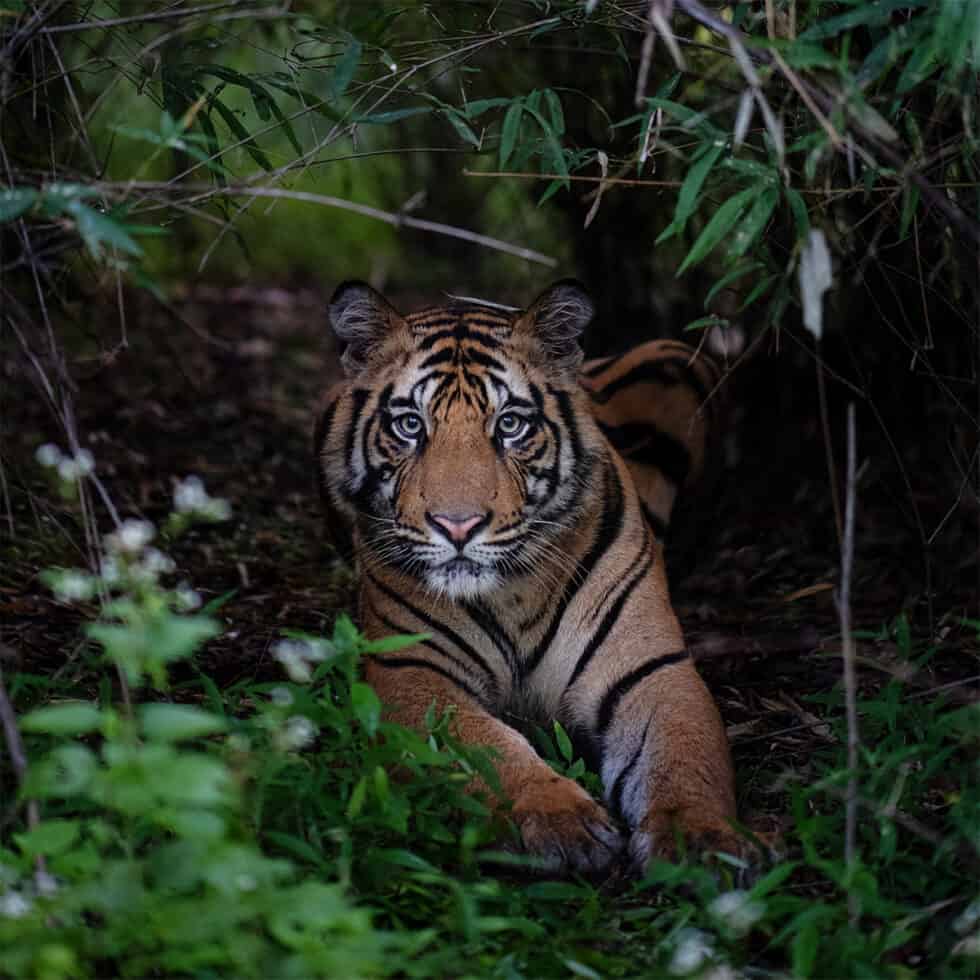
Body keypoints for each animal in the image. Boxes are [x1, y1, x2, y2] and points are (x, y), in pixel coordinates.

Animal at [314, 279, 742, 875]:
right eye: (410, 425)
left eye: (510, 425)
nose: (458, 524)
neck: (513, 592)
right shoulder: (413, 671)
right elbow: (486, 748)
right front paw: (561, 818)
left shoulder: (651, 668)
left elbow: (684, 755)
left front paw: (700, 841)